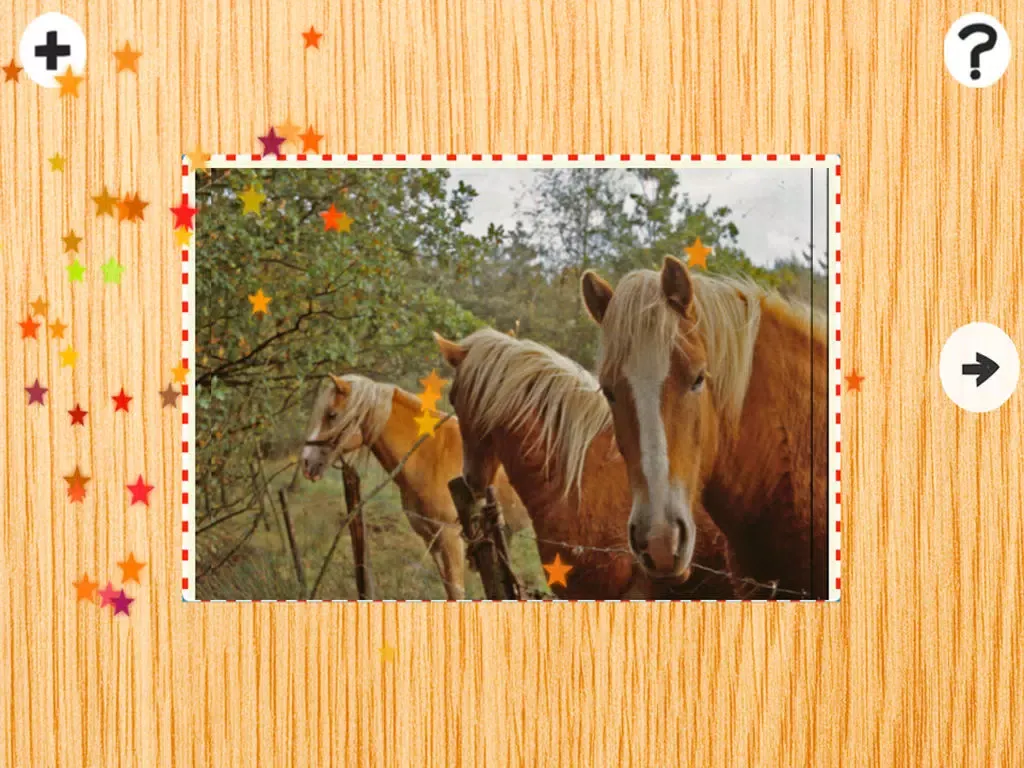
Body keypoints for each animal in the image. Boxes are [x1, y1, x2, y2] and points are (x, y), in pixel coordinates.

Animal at [301, 374, 530, 599]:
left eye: (331, 414)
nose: (306, 462)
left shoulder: (450, 538)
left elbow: (456, 590)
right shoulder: (431, 539)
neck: (431, 454)